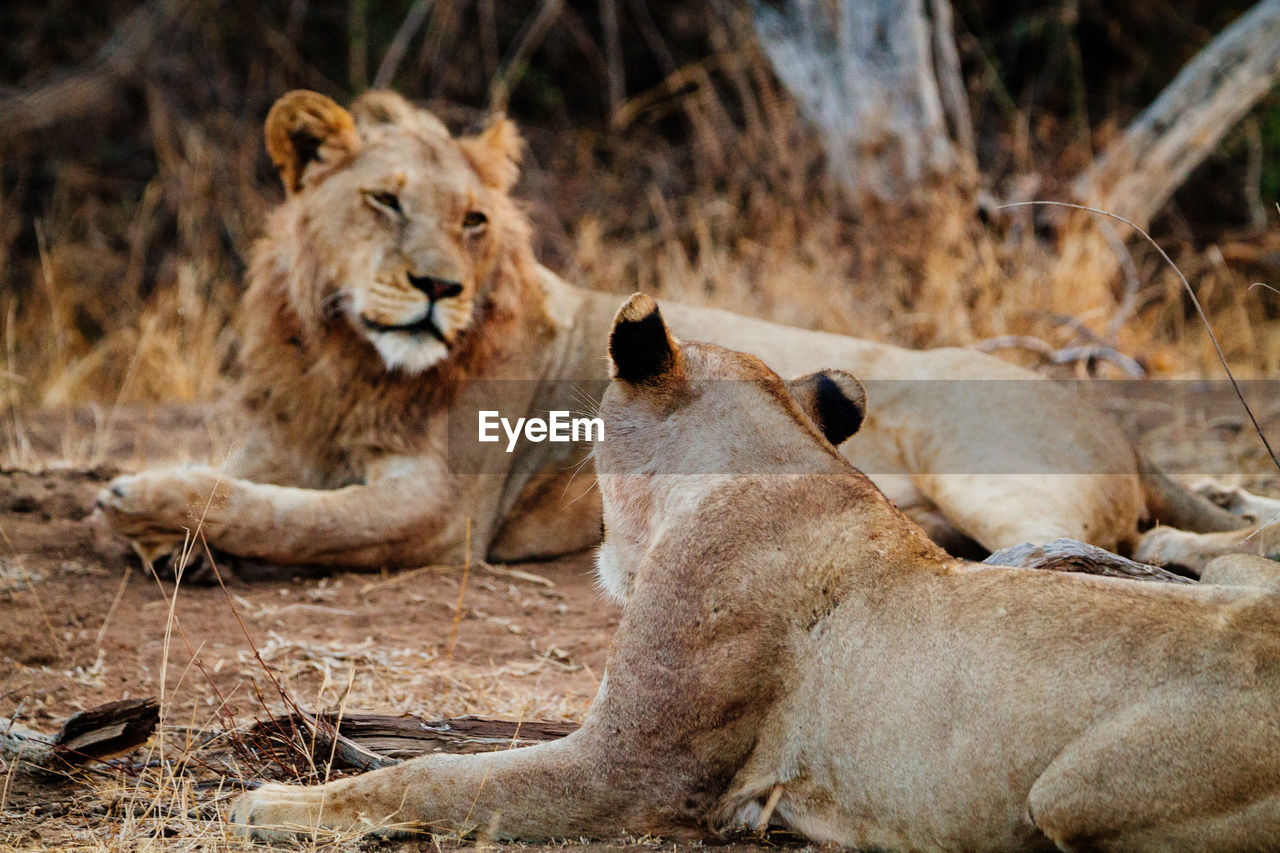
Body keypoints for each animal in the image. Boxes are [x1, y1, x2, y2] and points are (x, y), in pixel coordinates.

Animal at [99, 89, 1259, 568]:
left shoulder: (443, 510)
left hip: (987, 464)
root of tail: (1112, 421)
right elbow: (255, 481)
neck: (344, 358)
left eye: (472, 220)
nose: (437, 287)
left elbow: (296, 520)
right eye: (384, 202)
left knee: (1097, 546)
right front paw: (160, 523)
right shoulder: (279, 439)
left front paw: (146, 507)